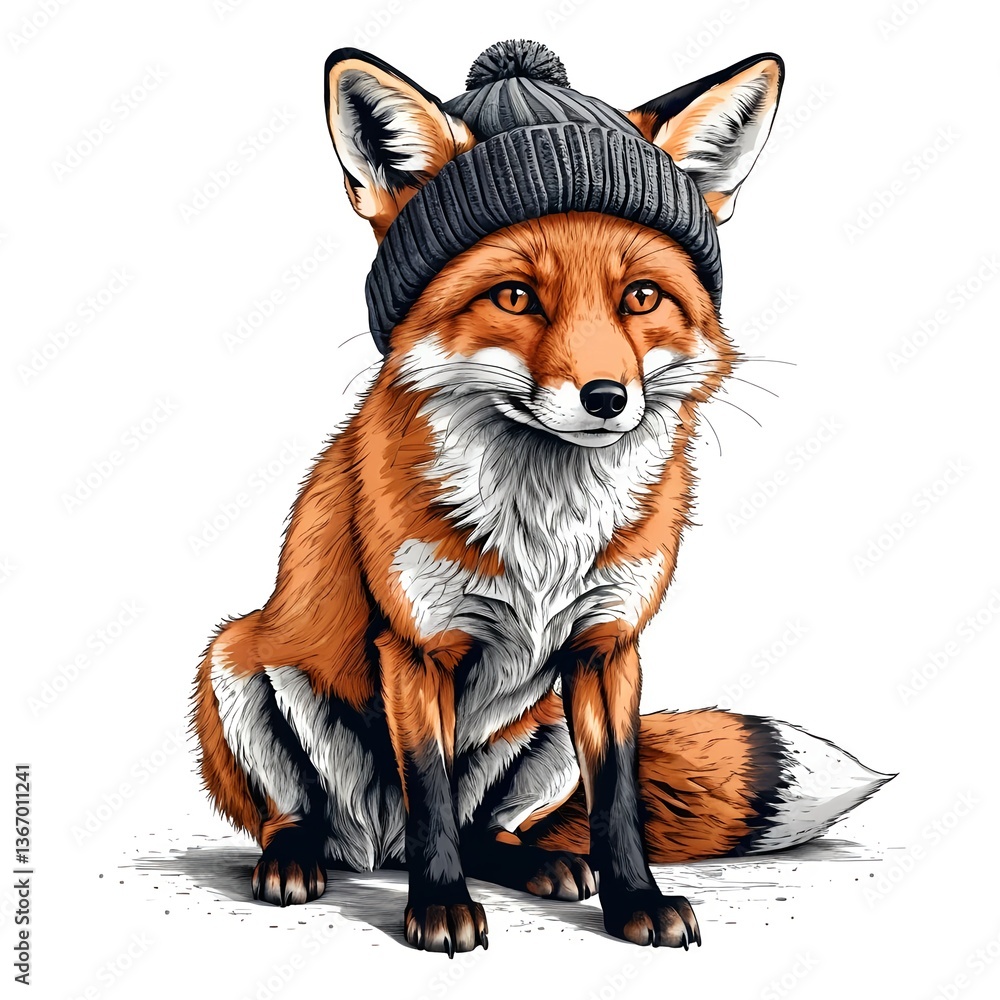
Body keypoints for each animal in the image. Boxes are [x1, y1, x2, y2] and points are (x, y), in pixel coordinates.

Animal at [192, 39, 890, 955]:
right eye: (516, 296)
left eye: (641, 297)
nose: (606, 397)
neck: (547, 529)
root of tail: (374, 850)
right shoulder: (416, 647)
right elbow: (430, 791)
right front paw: (439, 908)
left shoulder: (607, 646)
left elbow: (618, 798)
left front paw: (635, 903)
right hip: (237, 662)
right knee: (310, 814)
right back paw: (296, 859)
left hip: (546, 727)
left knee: (494, 830)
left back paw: (541, 865)